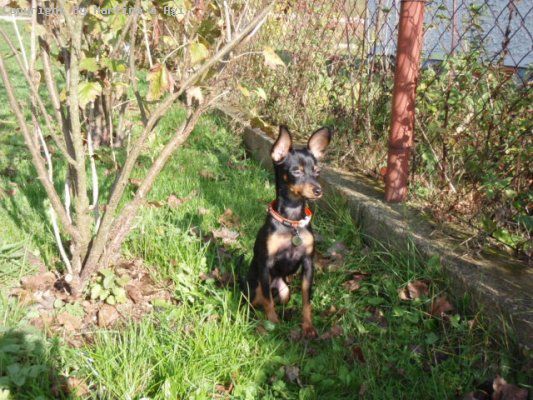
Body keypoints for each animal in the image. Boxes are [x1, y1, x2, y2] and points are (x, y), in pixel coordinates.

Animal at [245, 125, 332, 338]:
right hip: (256, 285)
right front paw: (273, 323)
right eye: (296, 171)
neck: (291, 223)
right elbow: (268, 300)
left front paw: (307, 326)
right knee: (258, 300)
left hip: (285, 290)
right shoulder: (265, 264)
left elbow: (307, 300)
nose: (318, 190)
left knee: (278, 300)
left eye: (317, 171)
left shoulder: (308, 263)